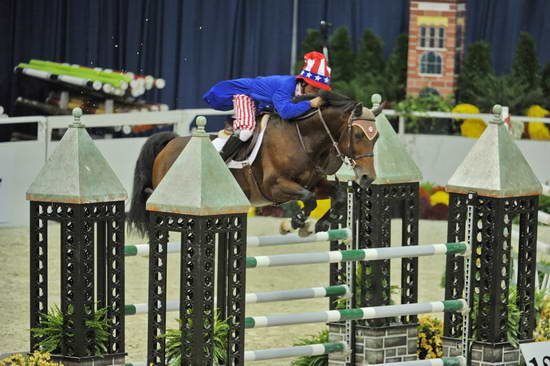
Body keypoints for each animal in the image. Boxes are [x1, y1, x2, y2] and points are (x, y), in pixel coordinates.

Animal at [127, 90, 382, 236]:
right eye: (358, 135)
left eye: (376, 137)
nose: (367, 177)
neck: (303, 139)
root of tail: (171, 143)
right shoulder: (275, 186)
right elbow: (308, 199)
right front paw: (295, 223)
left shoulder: (315, 183)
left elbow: (337, 197)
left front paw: (319, 225)